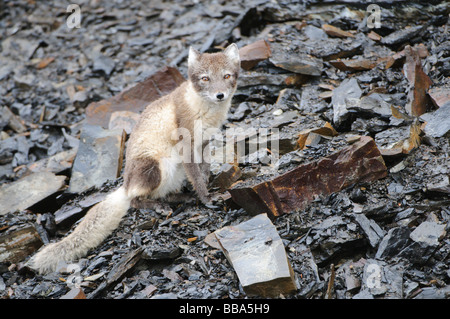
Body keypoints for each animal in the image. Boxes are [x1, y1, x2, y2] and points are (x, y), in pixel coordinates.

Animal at [29, 43, 241, 276]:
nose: (220, 95)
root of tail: (125, 184)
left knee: (163, 194)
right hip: (156, 167)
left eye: (226, 75)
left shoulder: (203, 143)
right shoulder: (187, 145)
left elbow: (203, 170)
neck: (204, 110)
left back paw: (180, 198)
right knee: (135, 199)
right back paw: (158, 206)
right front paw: (207, 198)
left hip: (173, 172)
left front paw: (207, 184)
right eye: (205, 78)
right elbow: (196, 177)